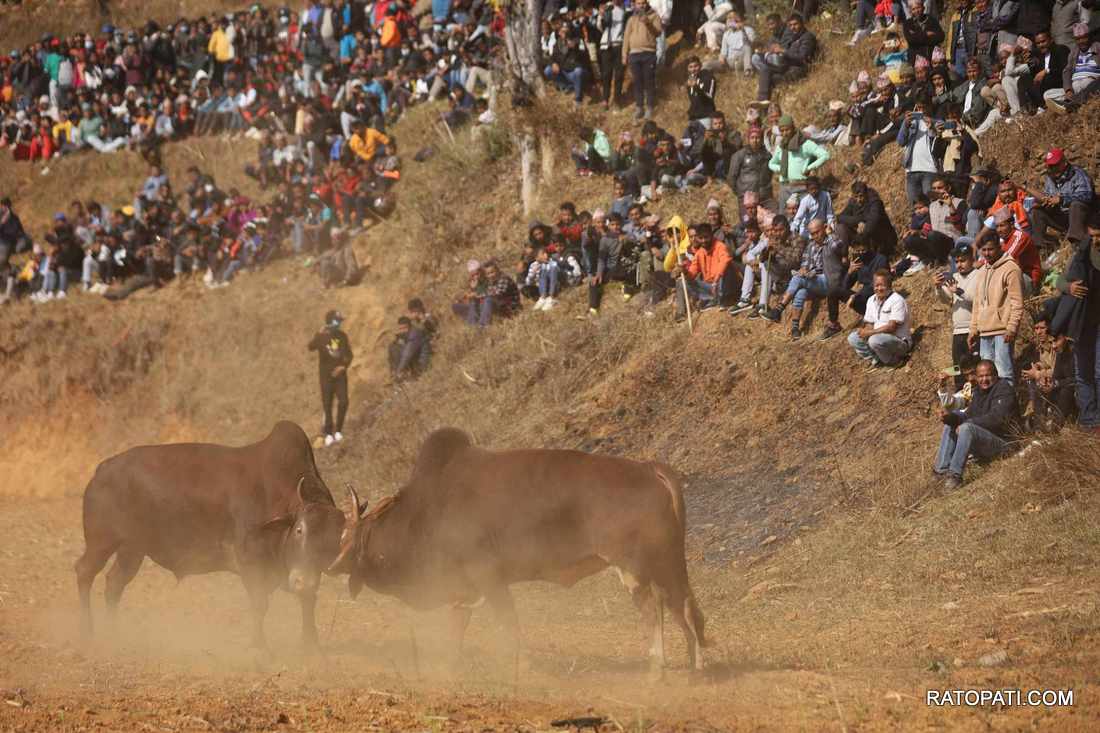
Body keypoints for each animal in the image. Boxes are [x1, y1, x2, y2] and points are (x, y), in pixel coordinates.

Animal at [74, 420, 343, 647]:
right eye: (299, 530)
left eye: (333, 539)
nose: (304, 579)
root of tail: (102, 470)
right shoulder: (249, 563)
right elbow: (260, 604)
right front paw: (259, 645)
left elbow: (308, 600)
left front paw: (310, 643)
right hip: (102, 543)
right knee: (84, 571)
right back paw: (87, 632)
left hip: (132, 550)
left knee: (114, 582)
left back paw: (113, 632)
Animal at [330, 429, 708, 673]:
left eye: (348, 534)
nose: (332, 565)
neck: (427, 510)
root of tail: (648, 467)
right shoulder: (464, 587)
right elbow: (458, 624)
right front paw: (450, 662)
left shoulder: (488, 577)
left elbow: (507, 623)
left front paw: (522, 664)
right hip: (667, 562)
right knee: (683, 606)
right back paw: (695, 663)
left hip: (633, 566)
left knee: (654, 608)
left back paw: (658, 665)